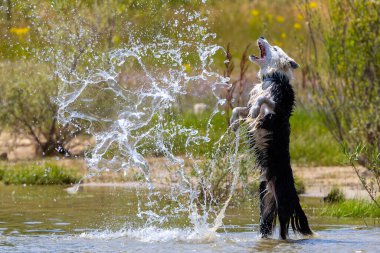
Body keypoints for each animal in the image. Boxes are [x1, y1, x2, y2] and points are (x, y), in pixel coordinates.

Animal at [230, 37, 314, 239]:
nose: (261, 36)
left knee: (284, 232)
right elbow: (240, 108)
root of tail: (295, 195)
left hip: (283, 205)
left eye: (275, 48)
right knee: (265, 227)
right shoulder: (249, 107)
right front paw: (233, 122)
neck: (271, 79)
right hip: (266, 204)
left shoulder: (277, 110)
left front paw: (255, 109)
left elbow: (264, 101)